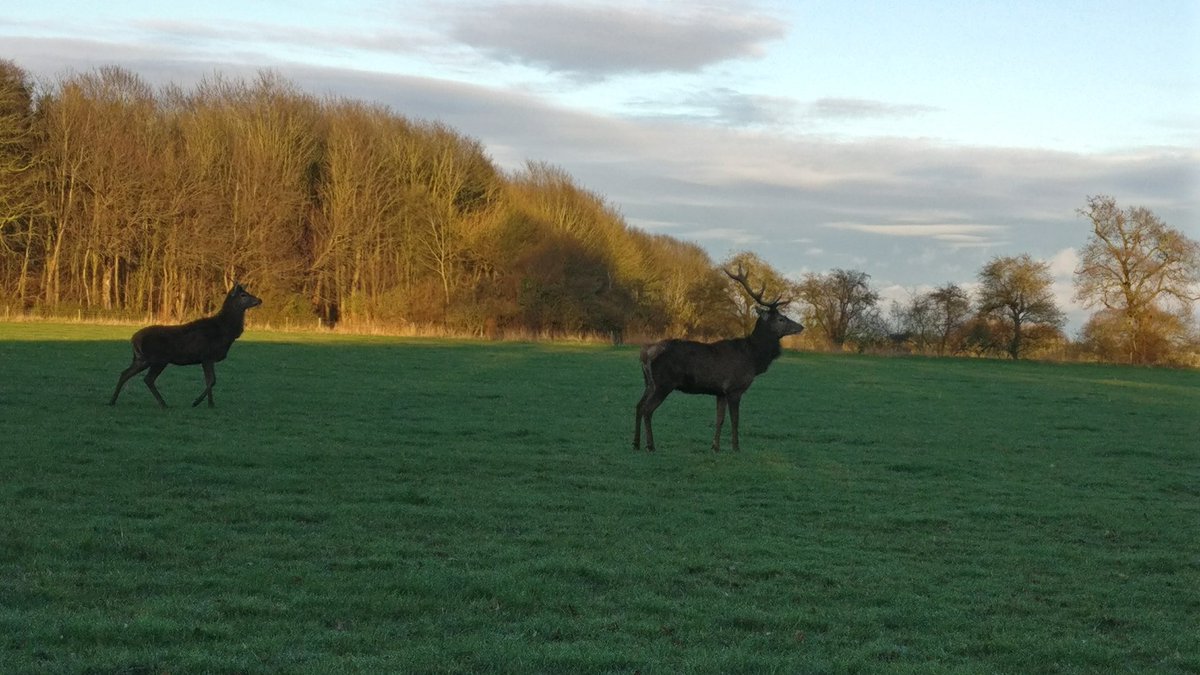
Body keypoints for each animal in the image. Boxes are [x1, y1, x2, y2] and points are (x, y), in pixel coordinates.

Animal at [110, 282, 262, 408]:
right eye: (243, 295)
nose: (260, 300)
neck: (226, 332)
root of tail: (134, 339)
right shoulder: (207, 355)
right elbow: (212, 380)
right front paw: (196, 402)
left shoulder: (207, 359)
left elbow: (209, 380)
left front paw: (211, 404)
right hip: (159, 359)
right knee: (148, 379)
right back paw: (163, 403)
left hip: (142, 359)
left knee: (125, 373)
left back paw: (112, 400)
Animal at [633, 265, 801, 449]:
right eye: (781, 319)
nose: (801, 326)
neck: (754, 358)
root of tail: (646, 353)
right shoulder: (734, 388)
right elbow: (735, 420)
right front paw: (736, 447)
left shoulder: (720, 392)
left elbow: (719, 419)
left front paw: (715, 446)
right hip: (664, 383)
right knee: (647, 410)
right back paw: (650, 445)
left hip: (649, 383)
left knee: (638, 406)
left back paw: (636, 443)